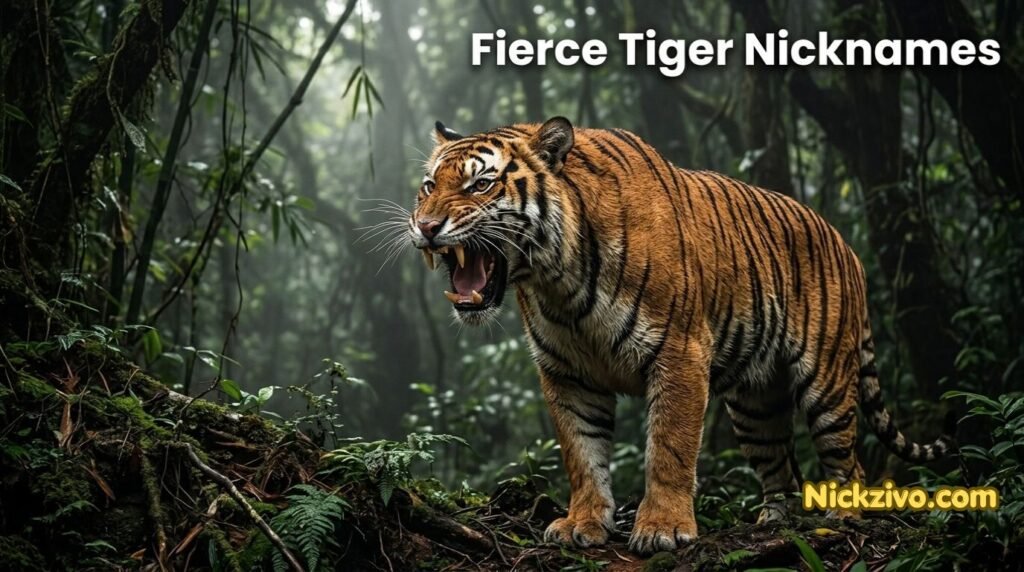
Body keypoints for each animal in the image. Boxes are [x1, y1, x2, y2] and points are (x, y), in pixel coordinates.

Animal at [407, 117, 956, 554]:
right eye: (429, 185)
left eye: (481, 185)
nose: (426, 226)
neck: (556, 280)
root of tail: (847, 245)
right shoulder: (567, 374)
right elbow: (582, 454)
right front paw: (583, 523)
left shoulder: (679, 353)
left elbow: (669, 448)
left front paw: (663, 529)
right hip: (755, 407)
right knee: (783, 470)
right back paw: (772, 523)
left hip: (827, 386)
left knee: (849, 463)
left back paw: (842, 516)